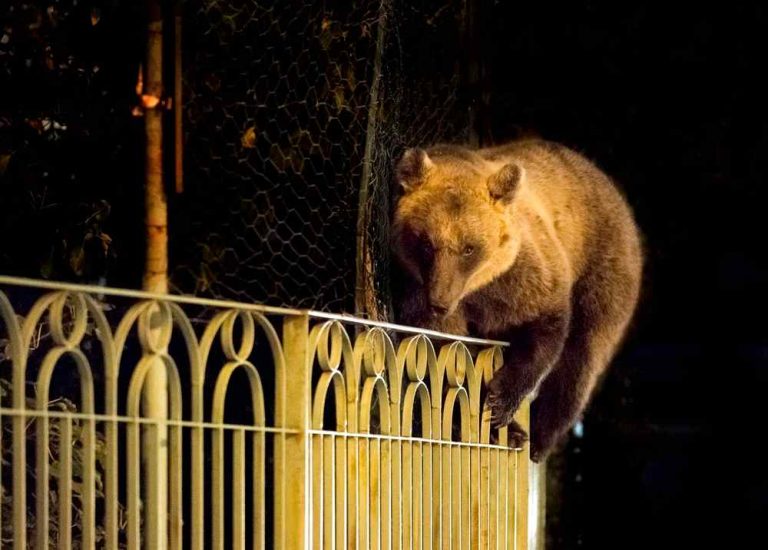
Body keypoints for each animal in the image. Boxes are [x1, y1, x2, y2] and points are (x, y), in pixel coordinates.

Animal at [390, 140, 640, 464]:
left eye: (469, 248)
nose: (440, 301)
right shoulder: (418, 287)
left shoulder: (526, 279)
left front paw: (501, 406)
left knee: (582, 358)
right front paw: (499, 428)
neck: (478, 289)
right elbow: (446, 355)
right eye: (426, 243)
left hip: (604, 270)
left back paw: (540, 437)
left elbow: (544, 331)